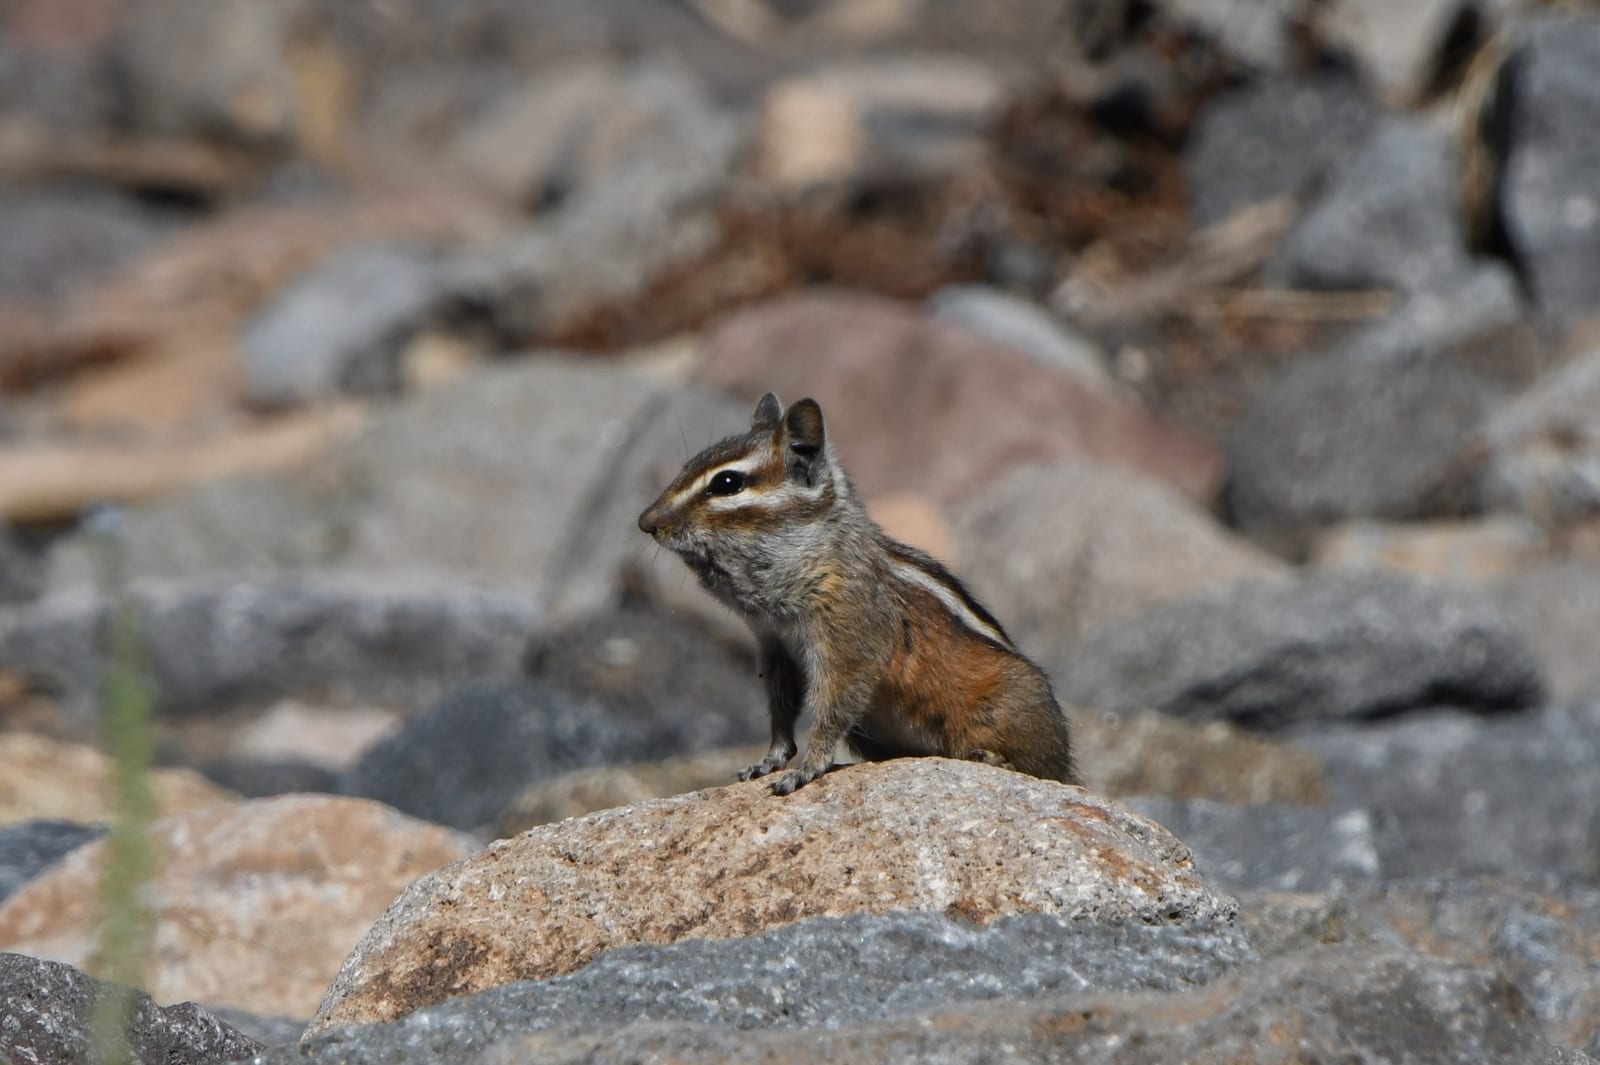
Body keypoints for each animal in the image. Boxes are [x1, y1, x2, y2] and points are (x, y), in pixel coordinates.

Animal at [638, 391, 1078, 795]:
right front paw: (770, 760)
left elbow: (832, 709)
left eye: (727, 483)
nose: (646, 523)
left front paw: (807, 767)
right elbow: (781, 709)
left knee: (1043, 771)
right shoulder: (776, 647)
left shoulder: (847, 642)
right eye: (686, 465)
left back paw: (996, 759)